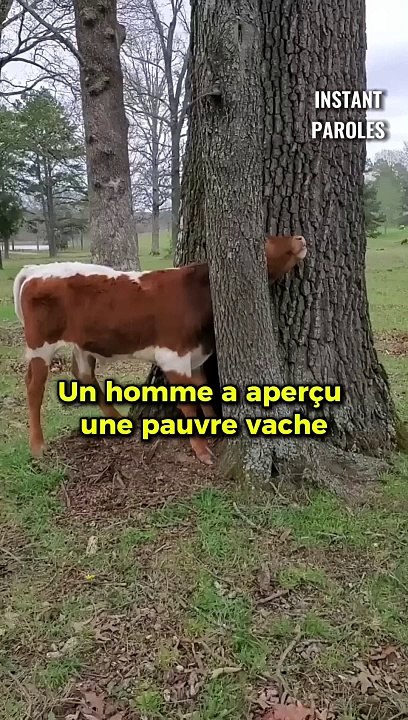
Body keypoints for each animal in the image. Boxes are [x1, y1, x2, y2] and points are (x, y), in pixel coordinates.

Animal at [13, 234, 307, 465]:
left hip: (82, 342)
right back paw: (37, 446)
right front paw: (201, 449)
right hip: (41, 343)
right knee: (34, 387)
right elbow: (188, 404)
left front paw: (214, 427)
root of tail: (36, 270)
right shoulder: (173, 356)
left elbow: (202, 391)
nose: (300, 238)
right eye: (264, 240)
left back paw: (117, 419)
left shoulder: (195, 355)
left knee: (83, 374)